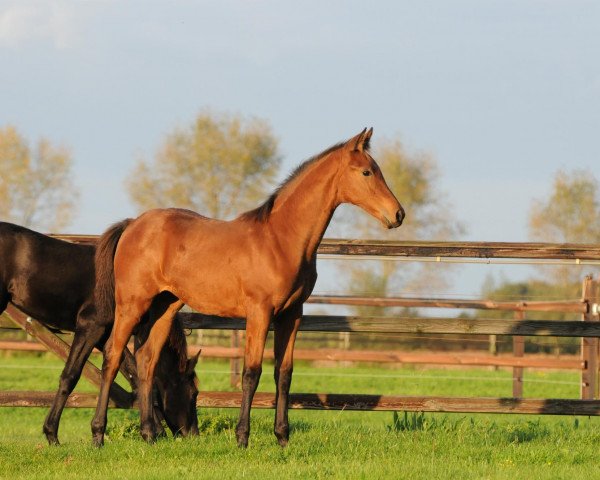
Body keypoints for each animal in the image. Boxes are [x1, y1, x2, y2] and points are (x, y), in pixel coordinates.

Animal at [0, 223, 200, 444]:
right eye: (194, 393)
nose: (193, 434)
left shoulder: (106, 334)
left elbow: (134, 375)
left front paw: (155, 430)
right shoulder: (90, 327)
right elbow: (70, 376)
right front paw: (52, 434)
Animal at [92, 127, 404, 446]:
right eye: (367, 172)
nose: (397, 214)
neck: (280, 239)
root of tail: (132, 225)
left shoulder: (292, 314)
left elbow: (284, 373)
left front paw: (282, 438)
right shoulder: (259, 312)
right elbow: (251, 373)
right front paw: (243, 438)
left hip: (164, 307)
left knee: (147, 360)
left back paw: (149, 434)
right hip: (132, 304)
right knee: (113, 356)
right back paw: (98, 434)